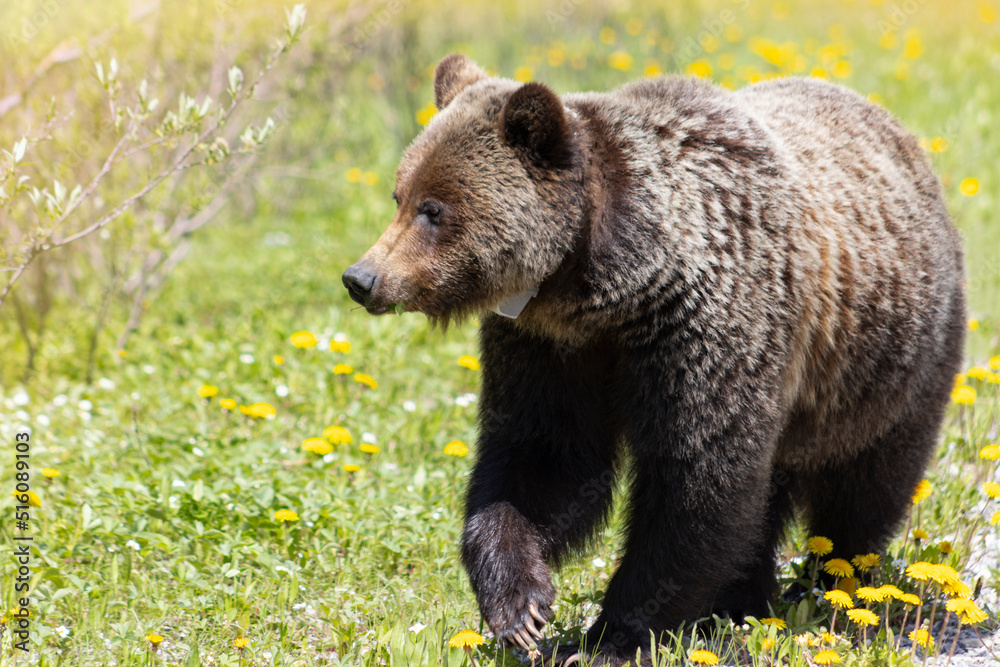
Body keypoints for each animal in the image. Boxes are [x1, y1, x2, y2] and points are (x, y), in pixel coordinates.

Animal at [342, 54, 966, 665]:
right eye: (399, 196)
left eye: (433, 208)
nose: (362, 278)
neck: (611, 286)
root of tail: (895, 128)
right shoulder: (549, 347)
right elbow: (544, 455)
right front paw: (520, 609)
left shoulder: (704, 325)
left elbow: (697, 480)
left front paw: (608, 637)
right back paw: (745, 601)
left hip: (886, 365)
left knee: (865, 488)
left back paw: (831, 583)